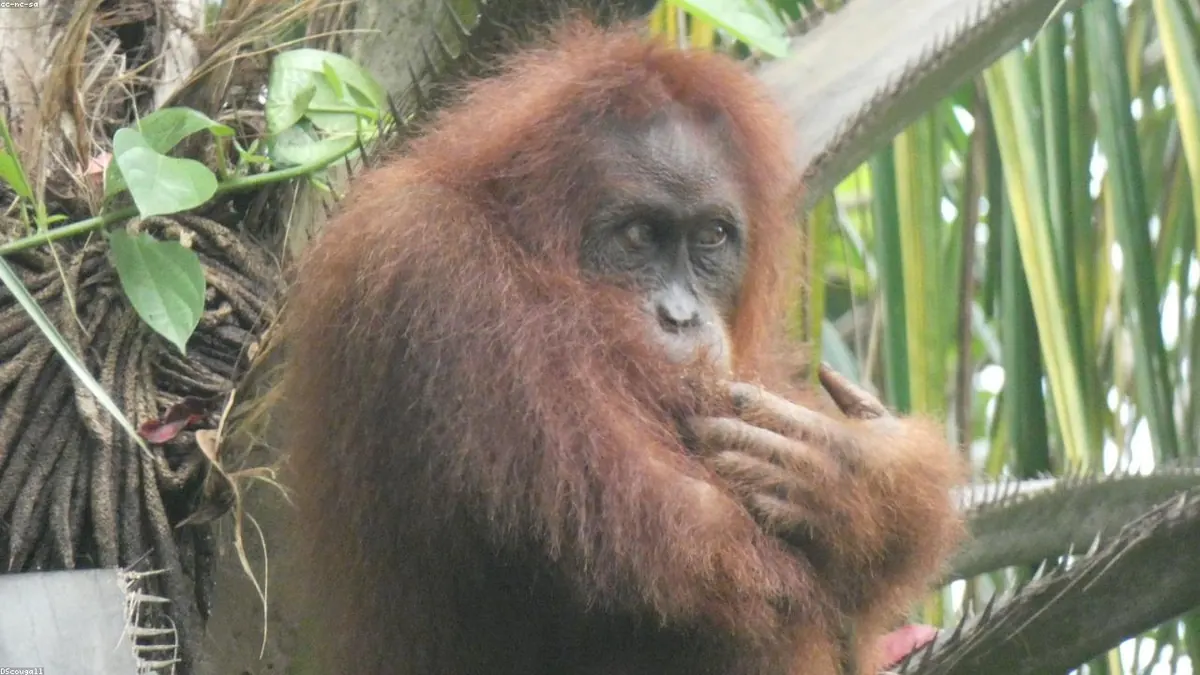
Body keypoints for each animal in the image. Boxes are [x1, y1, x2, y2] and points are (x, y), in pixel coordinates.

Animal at [282, 19, 965, 675]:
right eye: (639, 235)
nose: (682, 317)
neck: (527, 256)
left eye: (711, 237)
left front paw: (866, 473)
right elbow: (696, 532)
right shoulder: (438, 271)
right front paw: (851, 473)